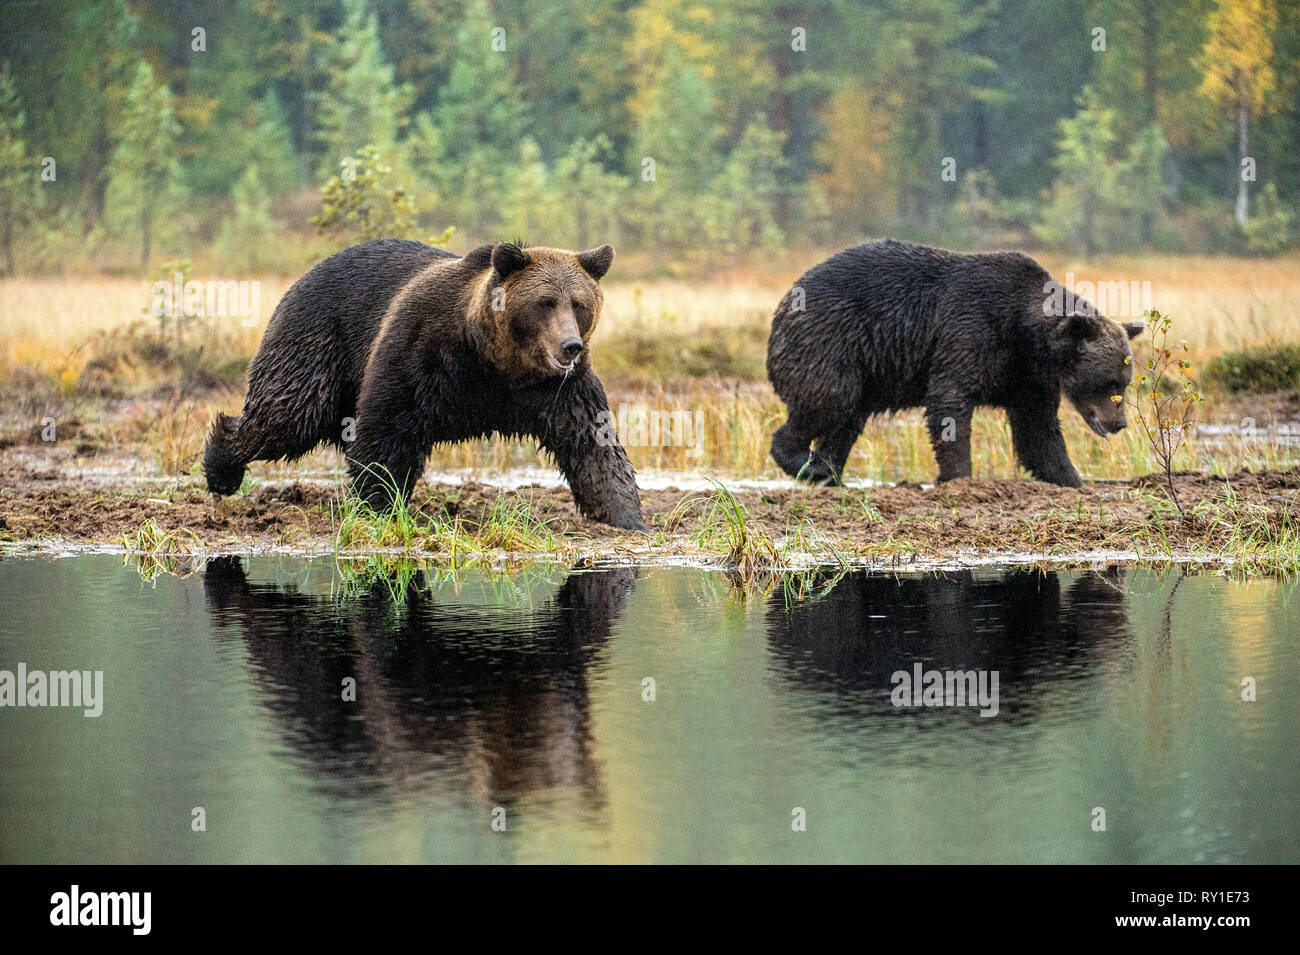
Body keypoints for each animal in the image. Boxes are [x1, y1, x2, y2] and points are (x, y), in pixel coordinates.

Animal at [204, 238, 647, 530]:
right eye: (544, 302)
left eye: (579, 303)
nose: (570, 345)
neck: (495, 362)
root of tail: (303, 275)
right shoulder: (423, 352)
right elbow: (386, 432)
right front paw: (379, 504)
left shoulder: (557, 389)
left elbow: (594, 444)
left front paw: (627, 517)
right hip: (318, 342)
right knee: (285, 414)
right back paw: (221, 467)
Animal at [766, 239, 1144, 488]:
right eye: (1109, 382)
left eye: (1124, 381)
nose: (1120, 423)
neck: (1026, 334)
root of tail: (785, 301)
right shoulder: (971, 328)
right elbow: (951, 402)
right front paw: (959, 477)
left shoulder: (1026, 374)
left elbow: (1038, 429)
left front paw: (1071, 478)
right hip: (834, 341)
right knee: (830, 400)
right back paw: (804, 463)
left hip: (864, 367)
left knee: (847, 420)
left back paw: (828, 472)